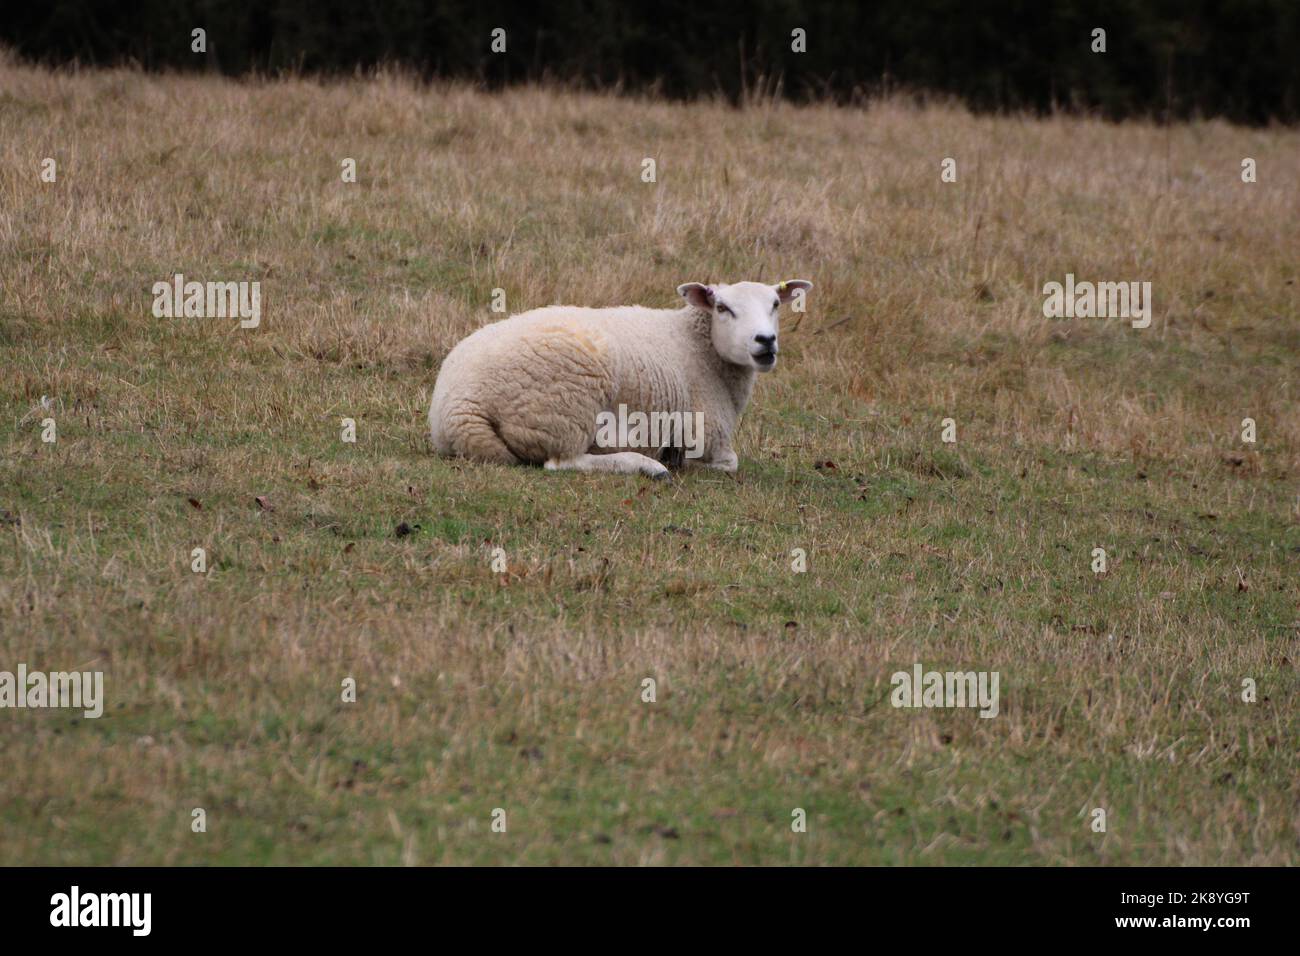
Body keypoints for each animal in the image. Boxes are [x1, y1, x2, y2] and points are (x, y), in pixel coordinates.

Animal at [428, 279, 813, 478]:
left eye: (775, 305)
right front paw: (676, 458)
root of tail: (459, 406)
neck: (696, 346)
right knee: (562, 462)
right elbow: (729, 462)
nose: (765, 340)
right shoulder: (705, 434)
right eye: (723, 308)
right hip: (564, 409)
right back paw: (646, 465)